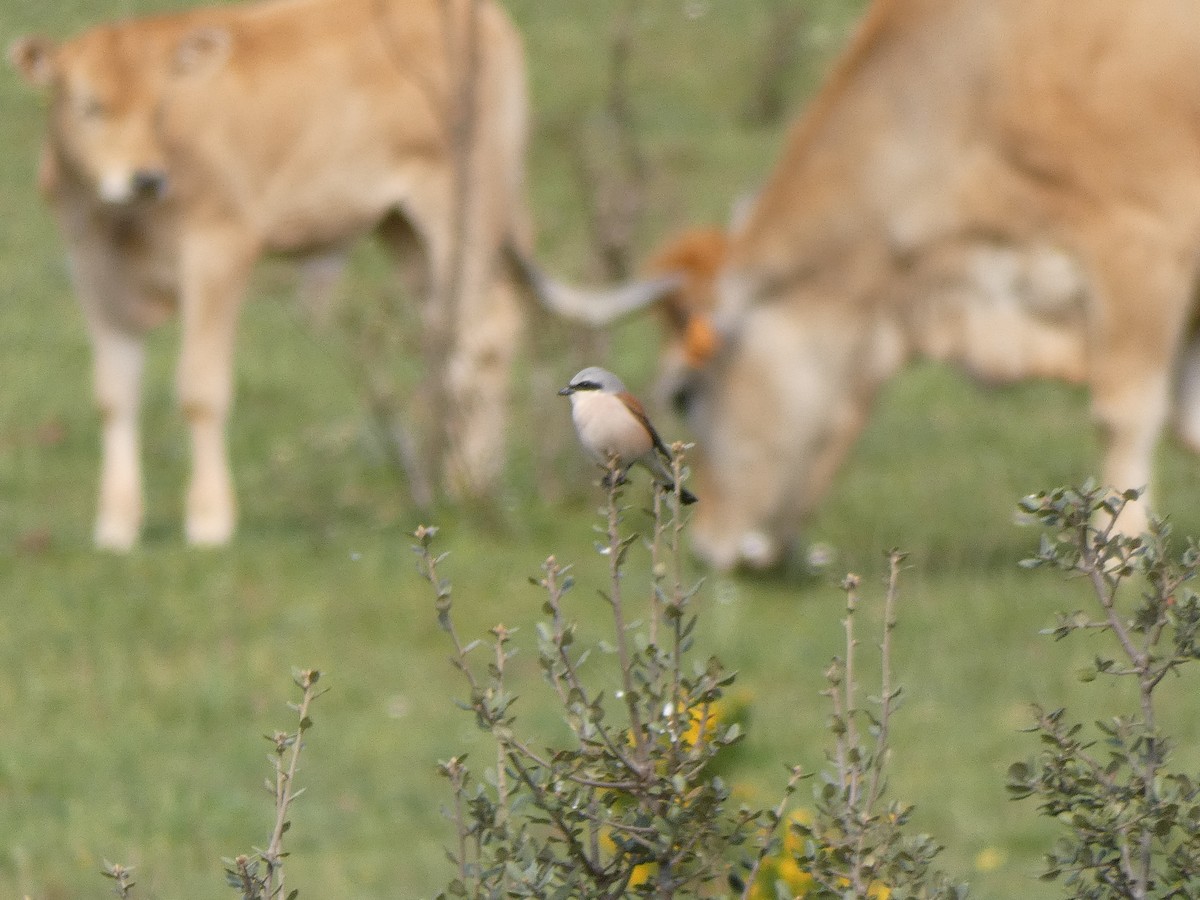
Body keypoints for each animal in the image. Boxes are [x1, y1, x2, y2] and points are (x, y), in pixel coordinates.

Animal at [4, 0, 532, 549]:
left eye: (162, 107)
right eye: (89, 106)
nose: (145, 178)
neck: (123, 223)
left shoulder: (219, 249)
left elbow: (201, 389)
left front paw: (210, 520)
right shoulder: (92, 268)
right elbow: (114, 395)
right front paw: (115, 527)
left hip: (464, 206)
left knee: (485, 328)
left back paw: (468, 480)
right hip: (402, 229)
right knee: (448, 331)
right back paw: (464, 480)